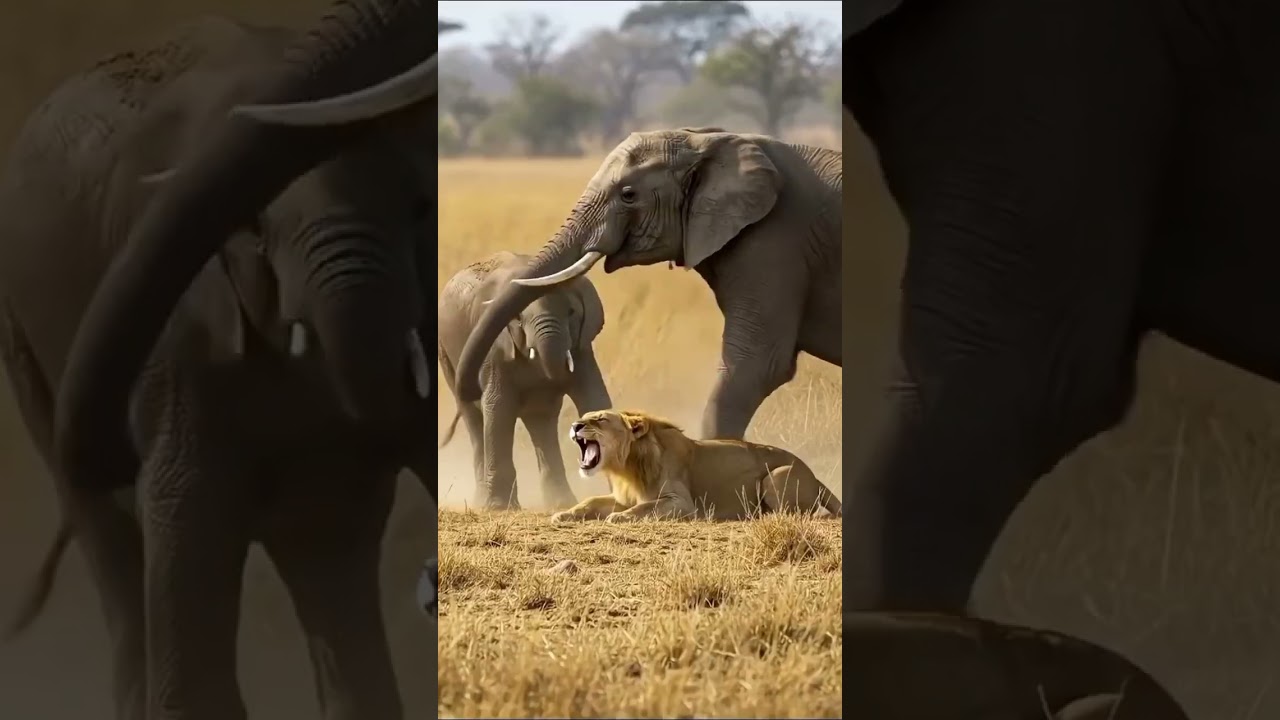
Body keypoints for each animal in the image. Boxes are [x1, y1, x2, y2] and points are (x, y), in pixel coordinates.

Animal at [551, 409, 842, 523]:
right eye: (584, 417)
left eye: (600, 419)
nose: (575, 425)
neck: (625, 469)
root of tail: (813, 474)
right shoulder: (621, 497)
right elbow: (590, 501)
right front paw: (563, 514)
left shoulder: (681, 502)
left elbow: (646, 507)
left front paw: (620, 518)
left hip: (775, 477)